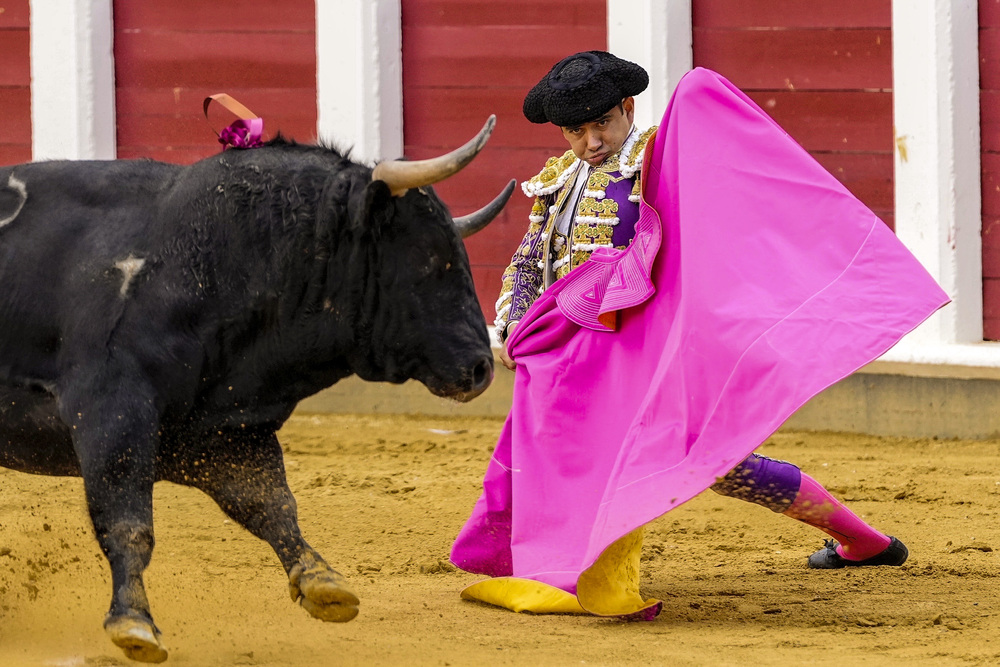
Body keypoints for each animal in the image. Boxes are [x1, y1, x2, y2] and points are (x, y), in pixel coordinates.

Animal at [0, 118, 516, 664]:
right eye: (431, 259)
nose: (482, 366)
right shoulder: (112, 413)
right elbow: (128, 523)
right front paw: (134, 624)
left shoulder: (227, 431)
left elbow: (273, 506)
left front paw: (322, 583)